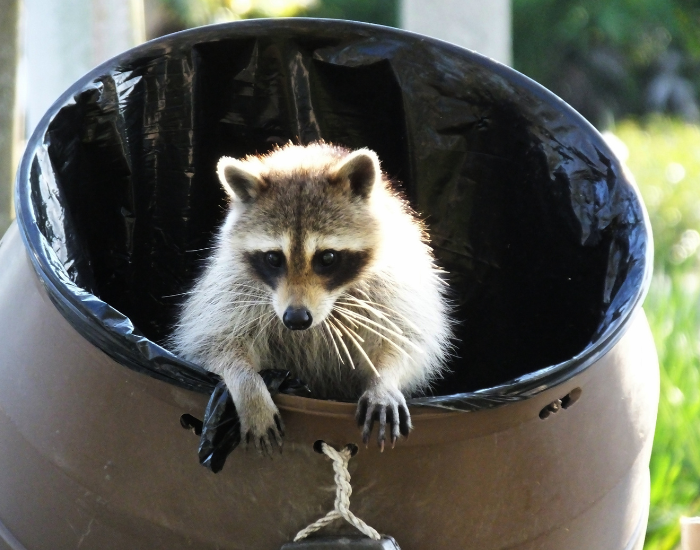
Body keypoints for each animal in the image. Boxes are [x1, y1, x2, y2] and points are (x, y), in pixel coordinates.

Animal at [170, 143, 452, 454]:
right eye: (273, 258)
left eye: (327, 258)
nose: (296, 319)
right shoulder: (231, 285)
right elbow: (211, 343)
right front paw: (248, 386)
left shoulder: (396, 284)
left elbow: (407, 338)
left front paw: (384, 380)